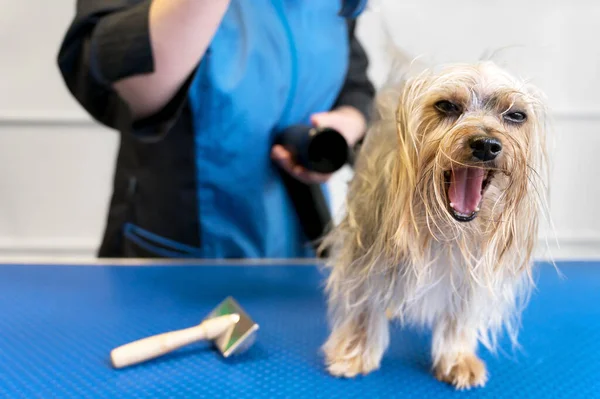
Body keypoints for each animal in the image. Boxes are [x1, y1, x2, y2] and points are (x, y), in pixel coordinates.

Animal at [322, 61, 552, 390]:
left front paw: (456, 359)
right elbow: (364, 299)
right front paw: (355, 351)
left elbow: (459, 314)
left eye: (516, 115)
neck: (445, 225)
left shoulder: (470, 269)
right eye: (446, 105)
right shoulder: (366, 245)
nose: (486, 144)